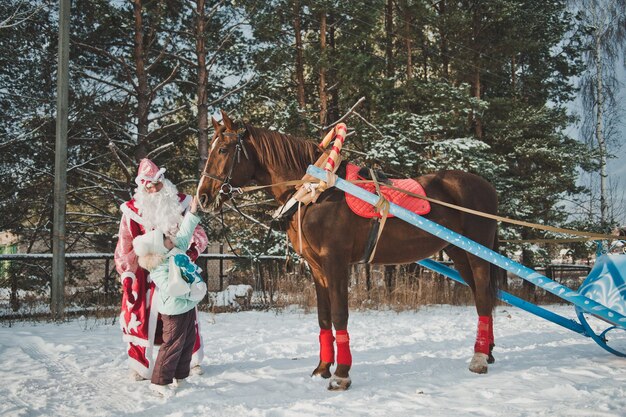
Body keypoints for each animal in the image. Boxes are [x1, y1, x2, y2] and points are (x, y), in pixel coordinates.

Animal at [197, 110, 500, 390]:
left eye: (223, 149)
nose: (203, 196)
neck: (315, 192)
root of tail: (486, 186)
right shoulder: (317, 268)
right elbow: (323, 317)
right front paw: (322, 367)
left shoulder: (336, 262)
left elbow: (340, 314)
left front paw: (341, 374)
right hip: (459, 254)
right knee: (480, 295)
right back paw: (487, 351)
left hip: (477, 254)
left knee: (484, 298)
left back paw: (479, 359)